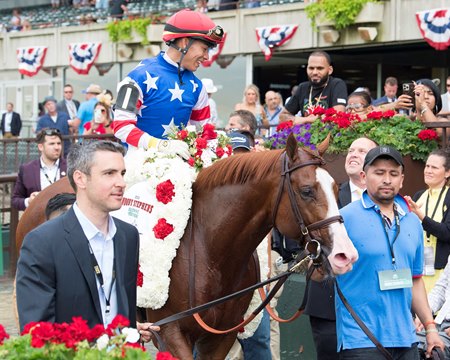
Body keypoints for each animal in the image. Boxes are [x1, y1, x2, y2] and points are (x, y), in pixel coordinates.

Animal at [15, 136, 356, 360]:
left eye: (336, 187)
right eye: (307, 190)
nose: (345, 255)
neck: (210, 252)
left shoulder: (221, 336)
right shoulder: (171, 333)